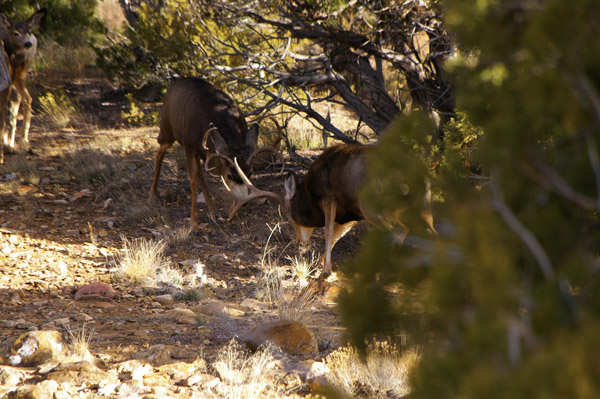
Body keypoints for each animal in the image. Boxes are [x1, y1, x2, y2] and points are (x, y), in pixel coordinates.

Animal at [284, 145, 434, 280]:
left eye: (289, 216)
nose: (299, 243)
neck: (309, 197)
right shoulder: (352, 214)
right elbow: (338, 235)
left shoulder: (328, 196)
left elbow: (329, 232)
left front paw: (325, 272)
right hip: (422, 207)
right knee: (432, 233)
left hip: (373, 207)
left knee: (400, 230)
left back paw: (382, 275)